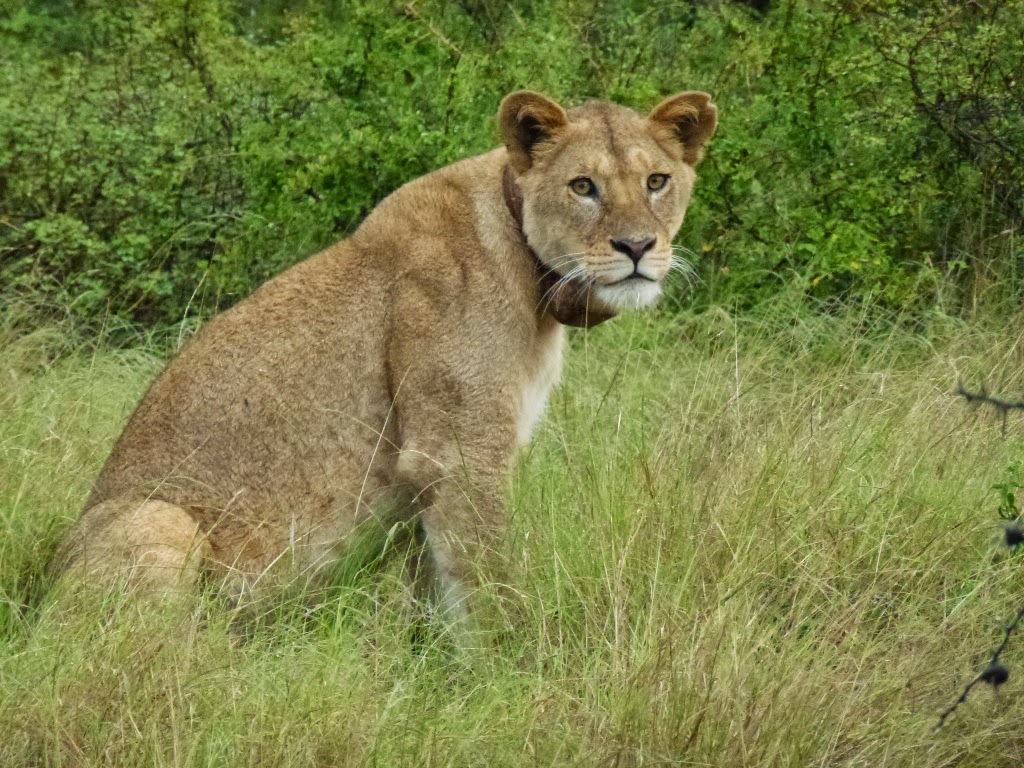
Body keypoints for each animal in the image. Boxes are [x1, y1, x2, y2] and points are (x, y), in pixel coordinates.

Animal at [50, 90, 718, 633]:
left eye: (657, 181)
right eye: (583, 186)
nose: (638, 246)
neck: (538, 286)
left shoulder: (427, 476)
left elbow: (435, 594)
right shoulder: (457, 453)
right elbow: (489, 588)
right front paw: (515, 674)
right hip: (156, 518)